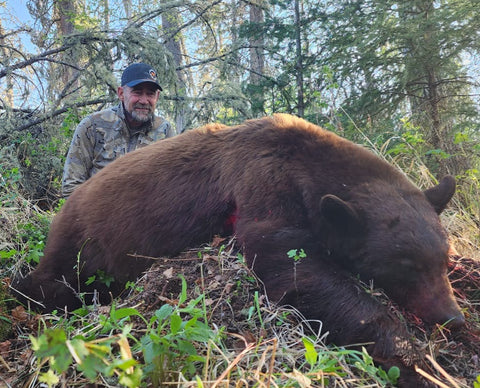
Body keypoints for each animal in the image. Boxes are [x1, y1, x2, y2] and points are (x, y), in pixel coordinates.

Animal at [13, 113, 464, 384]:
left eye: (443, 260)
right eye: (405, 265)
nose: (452, 317)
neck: (309, 164)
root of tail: (62, 205)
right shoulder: (263, 186)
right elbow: (290, 267)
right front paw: (417, 364)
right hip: (80, 245)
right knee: (46, 283)